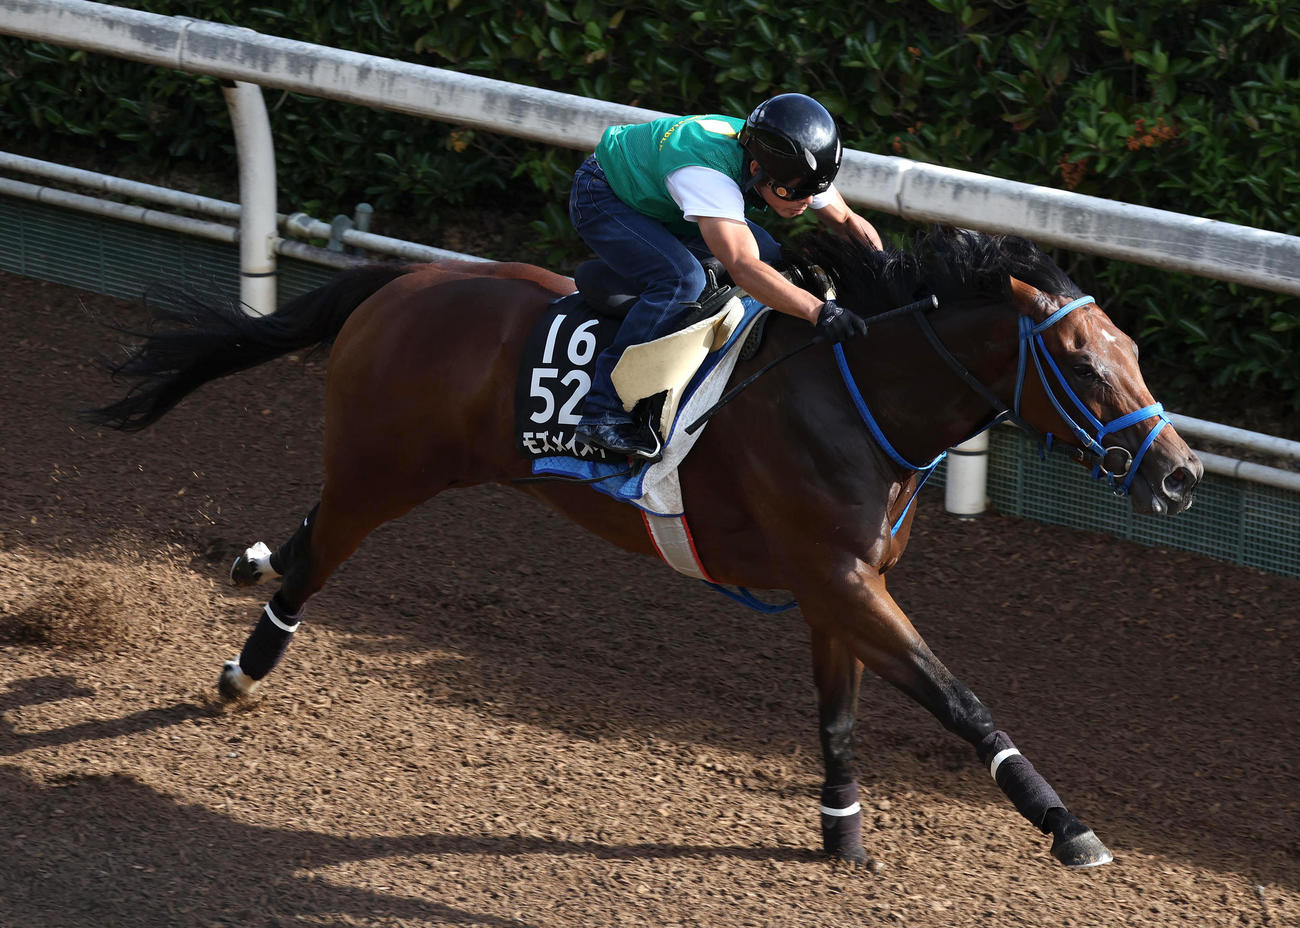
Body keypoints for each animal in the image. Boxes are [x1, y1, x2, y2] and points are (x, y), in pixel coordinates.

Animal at [88, 227, 1203, 870]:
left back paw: (252, 563)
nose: (1180, 472)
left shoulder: (838, 582)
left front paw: (840, 831)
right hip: (387, 468)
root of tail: (404, 283)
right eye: (1080, 364)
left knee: (308, 535)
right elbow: (958, 696)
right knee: (323, 553)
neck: (855, 397)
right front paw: (1065, 825)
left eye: (1132, 354)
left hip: (390, 466)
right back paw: (245, 664)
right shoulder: (839, 577)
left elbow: (838, 712)